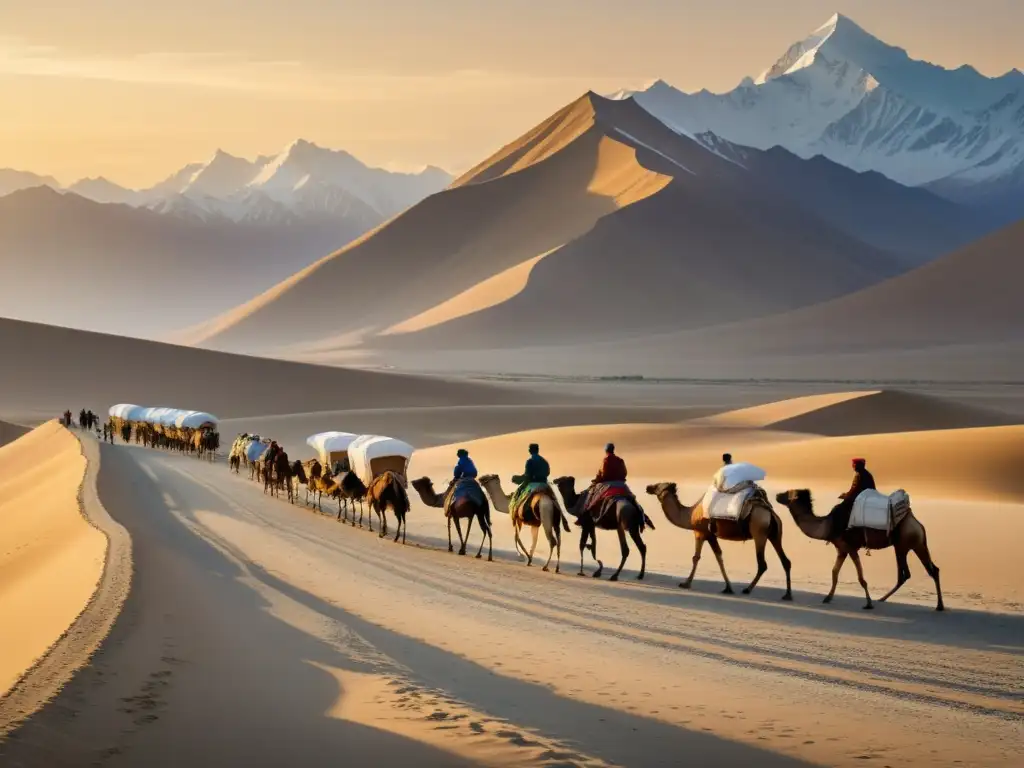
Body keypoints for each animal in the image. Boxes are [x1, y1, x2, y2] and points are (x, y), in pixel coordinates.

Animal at [647, 481, 790, 602]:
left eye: (658, 485)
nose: (648, 487)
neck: (690, 514)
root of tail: (770, 513)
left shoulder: (701, 532)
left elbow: (698, 557)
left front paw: (686, 583)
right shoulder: (709, 535)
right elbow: (717, 557)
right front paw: (728, 587)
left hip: (759, 532)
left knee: (762, 564)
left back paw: (747, 589)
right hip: (775, 534)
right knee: (785, 561)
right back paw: (787, 595)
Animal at [774, 493, 942, 614]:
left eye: (787, 493)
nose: (776, 495)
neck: (827, 525)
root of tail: (916, 522)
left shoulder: (850, 548)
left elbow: (861, 577)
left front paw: (868, 603)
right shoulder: (841, 549)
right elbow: (834, 572)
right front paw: (828, 598)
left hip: (908, 543)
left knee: (921, 571)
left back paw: (939, 605)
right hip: (911, 545)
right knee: (915, 572)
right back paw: (883, 599)